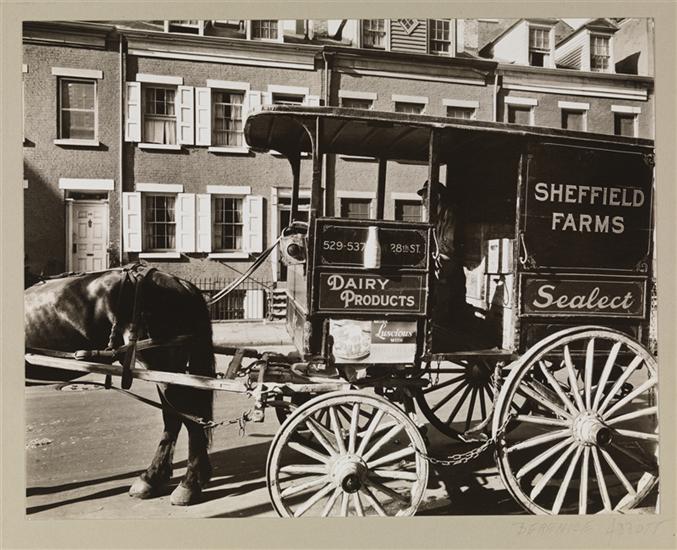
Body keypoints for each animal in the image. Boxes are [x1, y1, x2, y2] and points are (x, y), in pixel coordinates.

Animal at [24, 264, 215, 506]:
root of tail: (180, 282)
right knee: (177, 417)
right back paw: (156, 478)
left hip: (163, 362)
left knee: (183, 417)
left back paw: (188, 483)